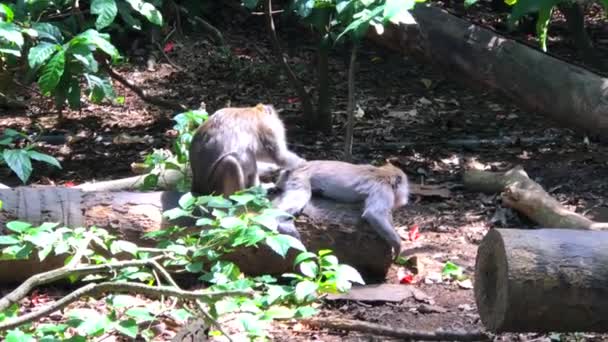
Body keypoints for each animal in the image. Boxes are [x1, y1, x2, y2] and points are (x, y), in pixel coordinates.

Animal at [274, 160, 410, 260]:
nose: (406, 197)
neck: (384, 173)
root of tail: (297, 166)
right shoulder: (383, 188)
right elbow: (374, 214)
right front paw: (398, 245)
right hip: (300, 177)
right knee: (301, 194)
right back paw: (283, 223)